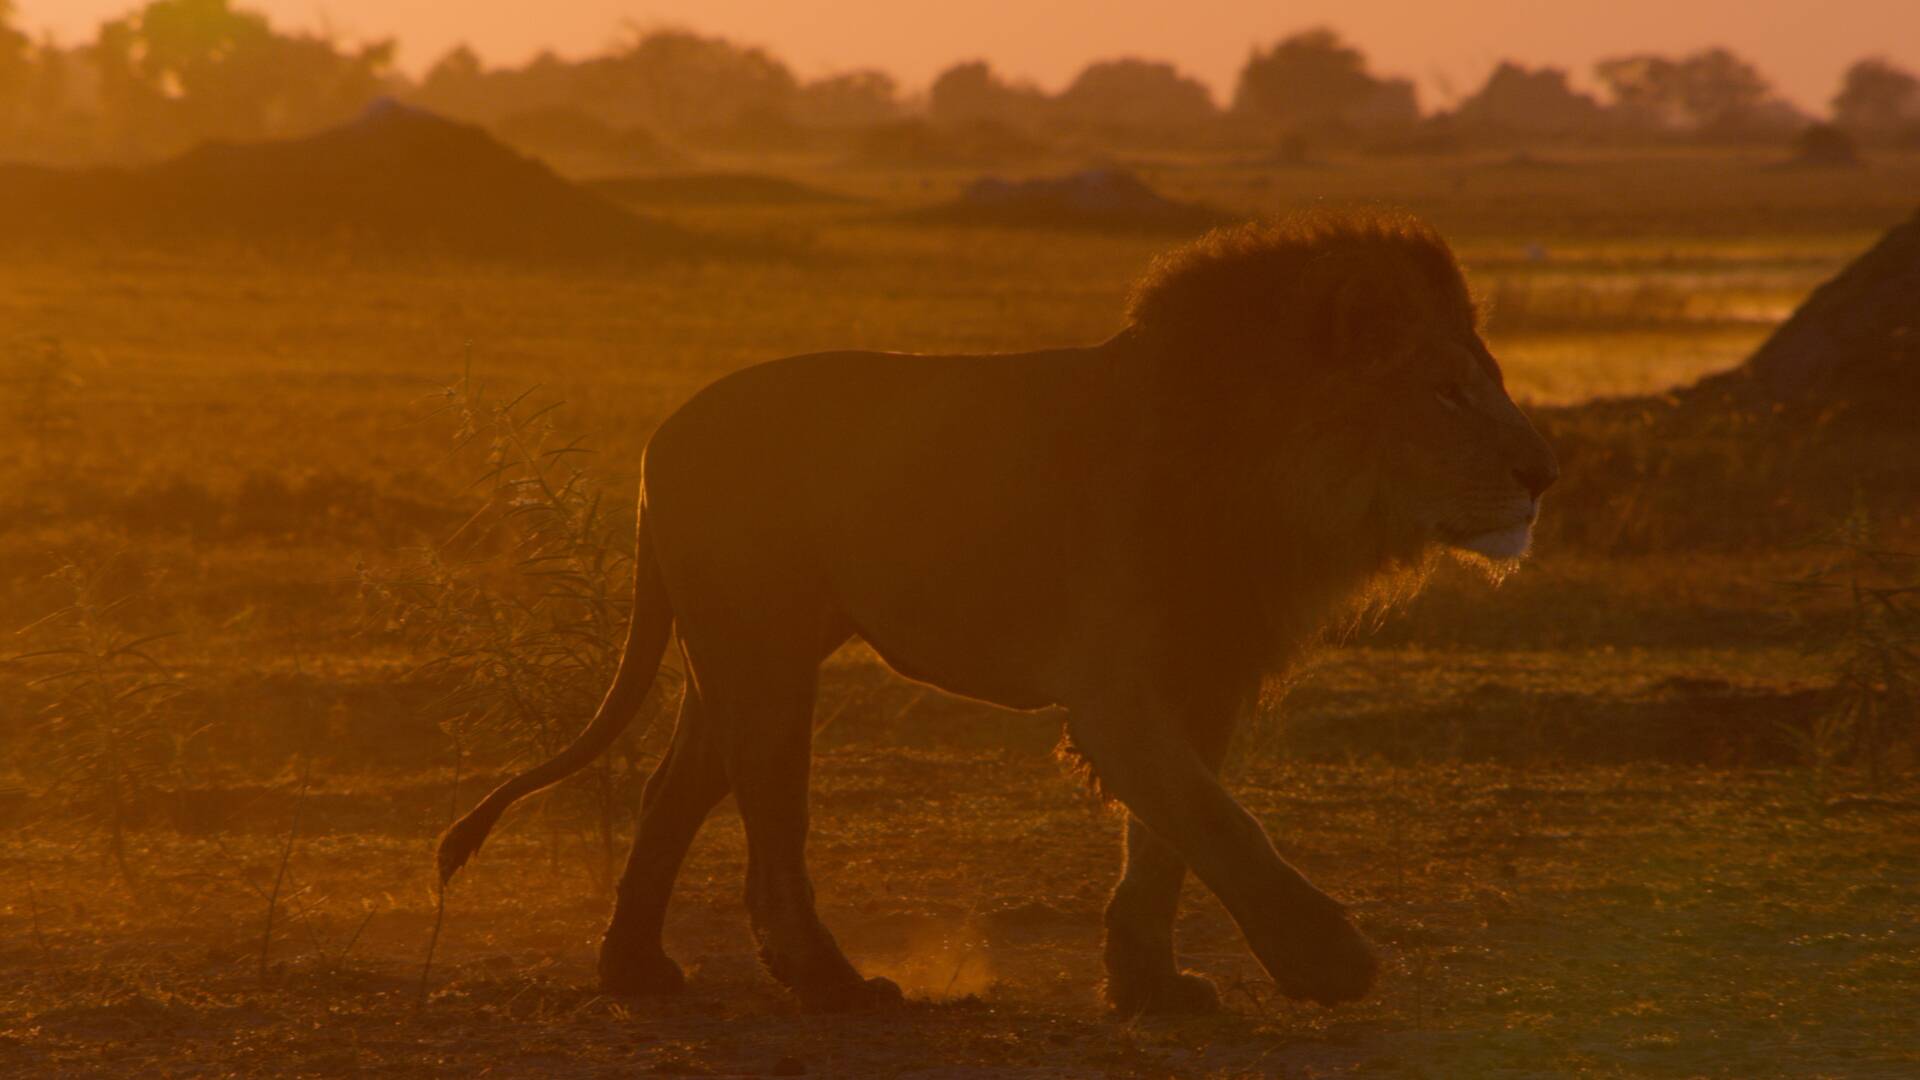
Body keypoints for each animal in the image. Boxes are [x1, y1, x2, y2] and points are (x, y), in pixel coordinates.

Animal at [435, 208, 1559, 1006]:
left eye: (1491, 383)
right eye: (1448, 393)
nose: (1545, 473)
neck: (1273, 476)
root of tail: (656, 440)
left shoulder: (1204, 674)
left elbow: (1169, 836)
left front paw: (1150, 984)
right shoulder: (1115, 690)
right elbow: (1218, 822)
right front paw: (1329, 965)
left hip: (742, 655)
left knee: (674, 790)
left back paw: (635, 970)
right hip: (764, 660)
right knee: (770, 826)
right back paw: (831, 983)